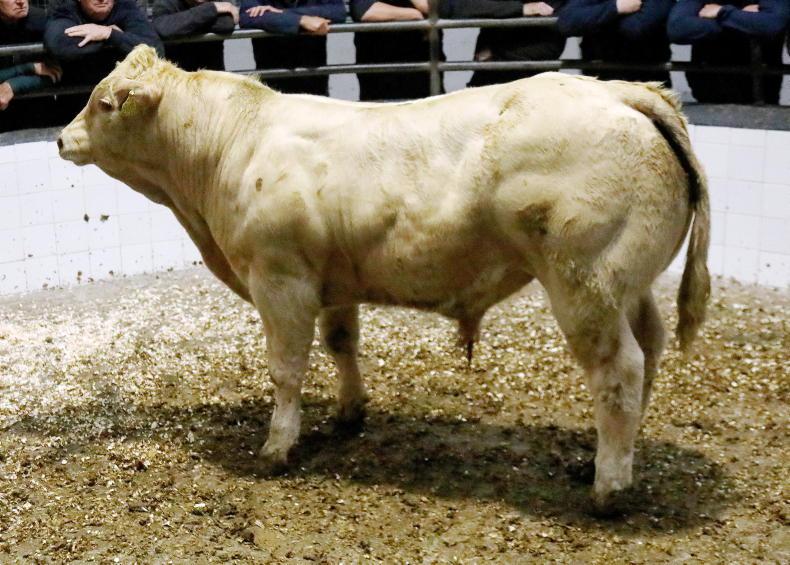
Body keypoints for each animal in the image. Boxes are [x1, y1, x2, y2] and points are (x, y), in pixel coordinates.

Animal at [58, 45, 710, 513]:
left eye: (106, 102)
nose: (61, 139)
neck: (230, 146)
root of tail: (622, 92)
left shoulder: (280, 278)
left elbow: (286, 368)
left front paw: (276, 447)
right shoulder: (331, 281)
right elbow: (341, 343)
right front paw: (350, 414)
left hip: (585, 283)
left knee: (618, 370)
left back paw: (607, 488)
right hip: (628, 284)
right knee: (650, 350)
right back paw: (606, 461)